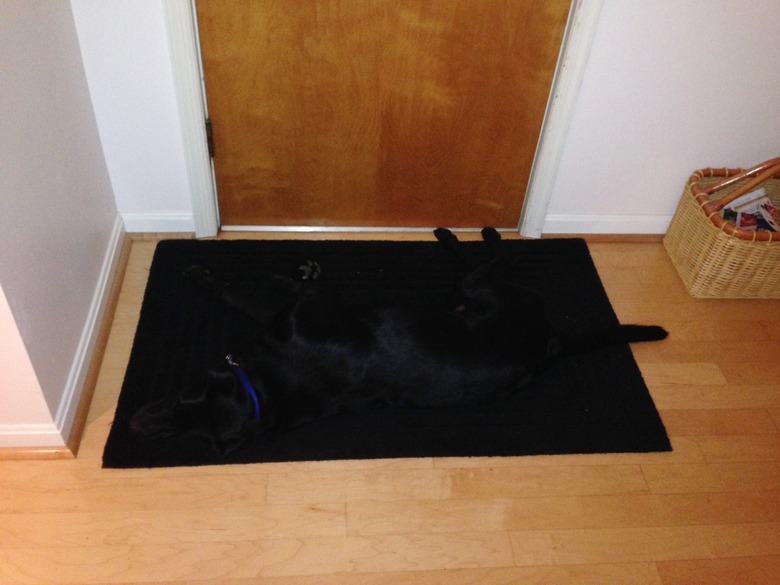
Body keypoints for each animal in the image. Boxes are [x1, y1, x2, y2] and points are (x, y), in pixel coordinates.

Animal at [128, 230, 664, 454]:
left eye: (179, 400)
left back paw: (467, 232)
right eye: (181, 432)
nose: (134, 424)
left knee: (496, 255)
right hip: (464, 295)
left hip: (477, 288)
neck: (267, 390)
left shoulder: (303, 311)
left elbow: (247, 294)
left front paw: (216, 276)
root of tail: (552, 341)